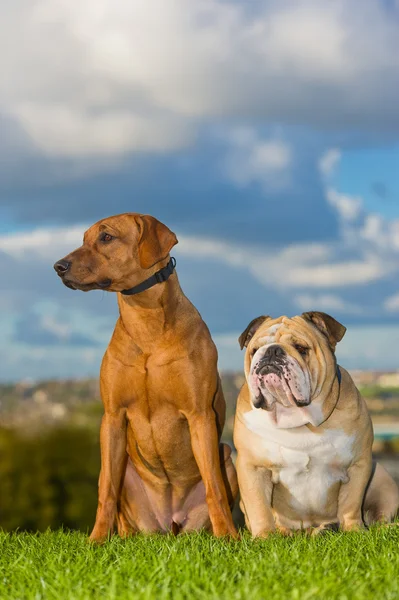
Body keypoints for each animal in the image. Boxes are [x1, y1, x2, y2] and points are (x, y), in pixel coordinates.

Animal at [54, 213, 239, 540]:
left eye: (106, 237)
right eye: (83, 238)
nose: (58, 266)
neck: (146, 324)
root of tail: (170, 523)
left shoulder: (199, 414)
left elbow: (214, 488)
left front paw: (228, 537)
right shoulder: (112, 416)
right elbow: (105, 489)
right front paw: (97, 541)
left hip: (227, 454)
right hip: (127, 470)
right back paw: (123, 536)